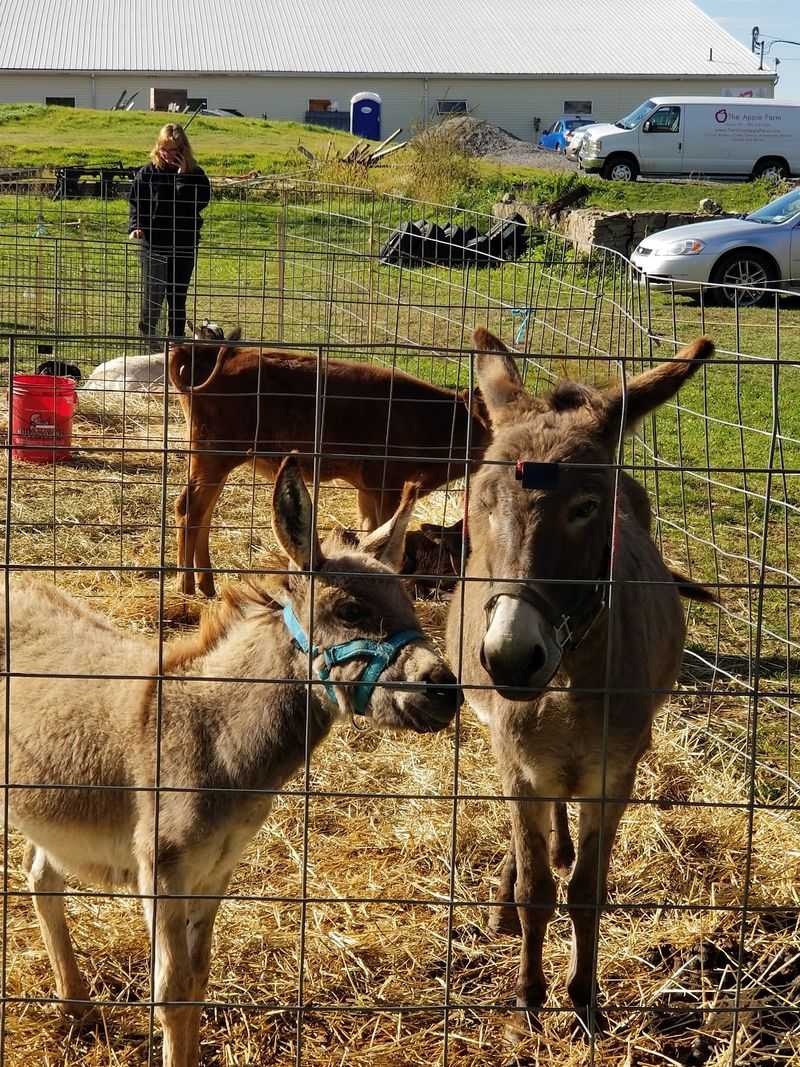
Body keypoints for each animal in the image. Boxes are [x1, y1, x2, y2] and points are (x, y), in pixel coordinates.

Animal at [5, 453, 459, 1067]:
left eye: (410, 602)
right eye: (351, 610)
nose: (446, 692)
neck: (212, 734)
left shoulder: (216, 869)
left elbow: (196, 981)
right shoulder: (162, 875)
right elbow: (172, 992)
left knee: (42, 875)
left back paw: (76, 1006)